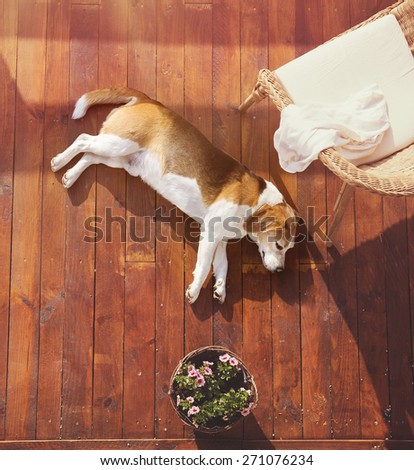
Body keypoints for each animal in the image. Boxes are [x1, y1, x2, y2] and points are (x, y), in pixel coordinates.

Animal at [52, 88, 298, 304]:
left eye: (288, 250)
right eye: (279, 246)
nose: (280, 270)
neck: (258, 200)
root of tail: (148, 100)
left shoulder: (220, 239)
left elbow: (222, 265)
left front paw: (220, 289)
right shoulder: (211, 231)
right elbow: (204, 265)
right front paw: (195, 291)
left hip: (121, 159)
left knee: (90, 157)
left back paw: (71, 176)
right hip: (118, 144)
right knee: (83, 139)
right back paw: (58, 161)